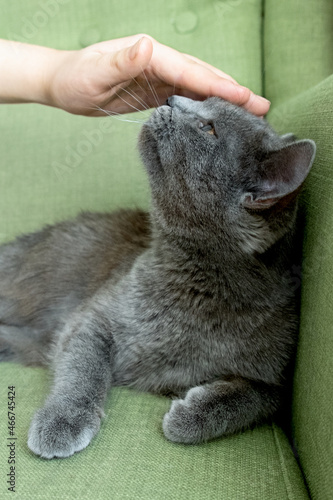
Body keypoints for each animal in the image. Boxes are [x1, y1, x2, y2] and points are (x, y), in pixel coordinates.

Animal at [0, 95, 314, 458]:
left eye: (208, 128)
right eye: (203, 101)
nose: (172, 98)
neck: (196, 292)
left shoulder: (279, 378)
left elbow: (254, 398)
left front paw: (189, 418)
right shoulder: (94, 317)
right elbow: (84, 368)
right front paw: (63, 420)